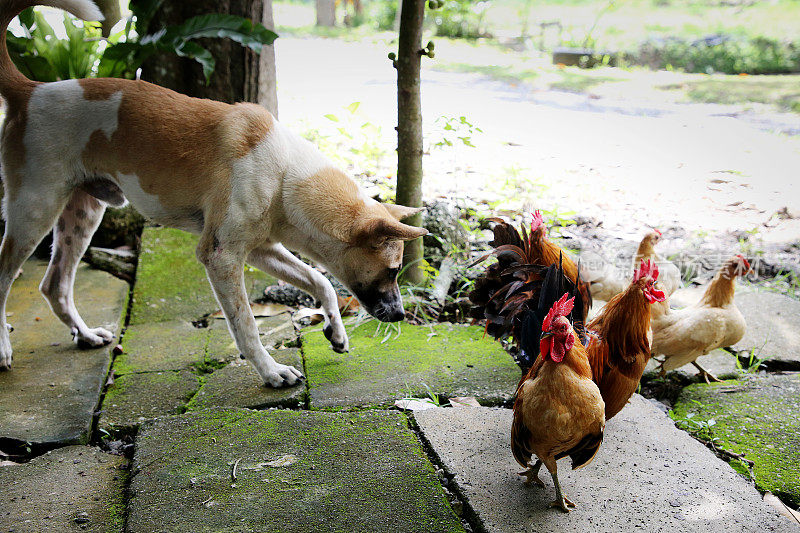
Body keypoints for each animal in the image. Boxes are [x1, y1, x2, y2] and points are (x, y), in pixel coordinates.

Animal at [0, 2, 424, 388]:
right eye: (393, 270)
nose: (403, 317)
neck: (285, 172)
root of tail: (32, 91)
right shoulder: (221, 257)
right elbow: (246, 324)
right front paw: (271, 372)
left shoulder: (262, 248)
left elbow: (320, 283)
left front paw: (336, 332)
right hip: (34, 212)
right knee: (6, 277)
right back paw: (4, 349)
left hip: (84, 214)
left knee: (55, 284)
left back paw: (85, 335)